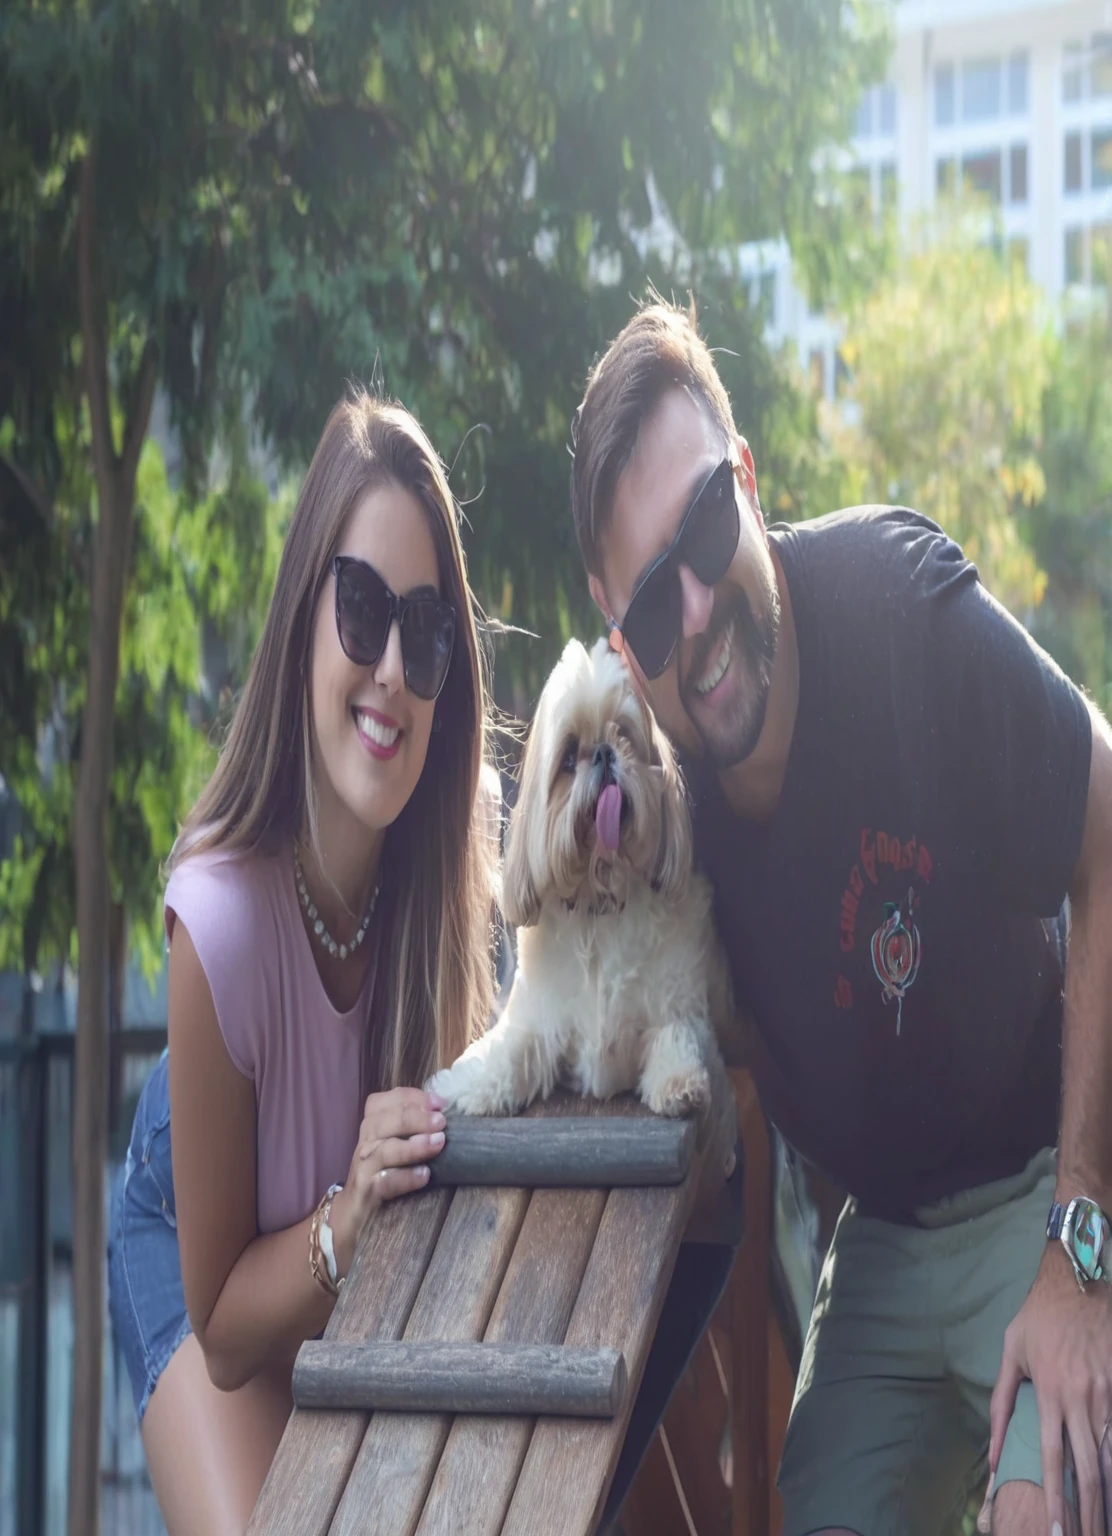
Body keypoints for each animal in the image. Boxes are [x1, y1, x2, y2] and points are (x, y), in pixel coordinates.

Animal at [426, 629, 737, 1167]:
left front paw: (679, 1082)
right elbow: (511, 1052)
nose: (605, 755)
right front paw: (471, 1085)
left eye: (625, 736)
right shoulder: (539, 1019)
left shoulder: (681, 1008)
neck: (602, 896)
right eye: (570, 757)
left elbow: (676, 1036)